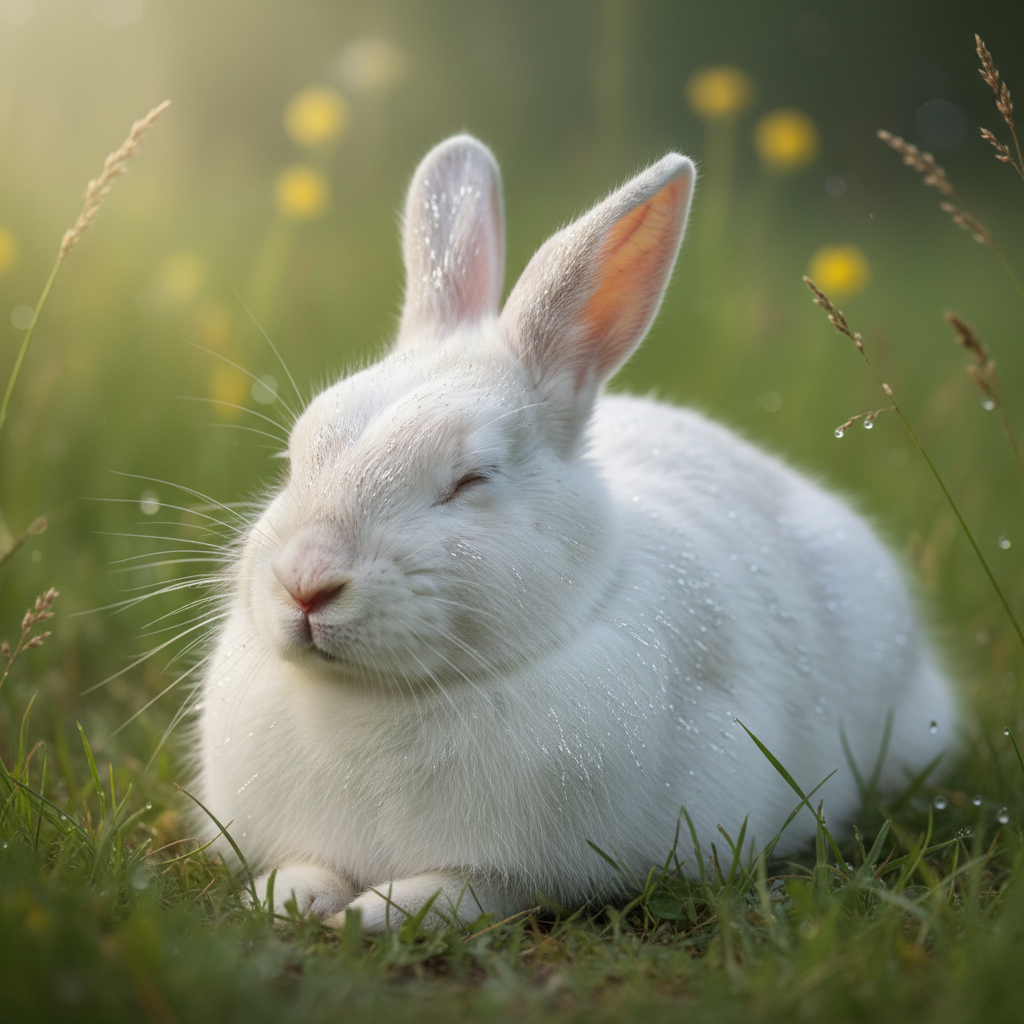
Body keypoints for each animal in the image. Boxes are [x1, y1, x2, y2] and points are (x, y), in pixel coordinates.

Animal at [195, 134, 956, 933]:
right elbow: (308, 865)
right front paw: (287, 898)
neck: (377, 697)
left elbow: (469, 888)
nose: (307, 584)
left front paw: (380, 913)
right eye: (295, 458)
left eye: (470, 481)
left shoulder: (524, 868)